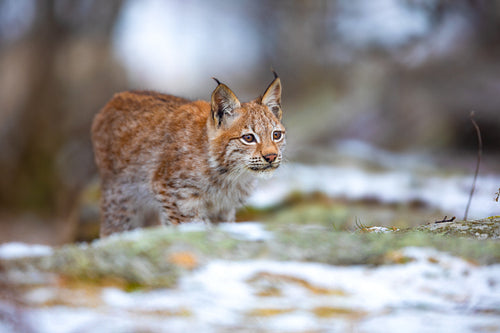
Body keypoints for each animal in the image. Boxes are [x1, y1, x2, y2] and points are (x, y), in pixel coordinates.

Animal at [91, 72, 286, 236]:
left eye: (276, 135)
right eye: (248, 138)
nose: (271, 157)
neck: (230, 176)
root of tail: (115, 99)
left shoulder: (224, 209)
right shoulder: (174, 195)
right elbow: (194, 229)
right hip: (121, 202)